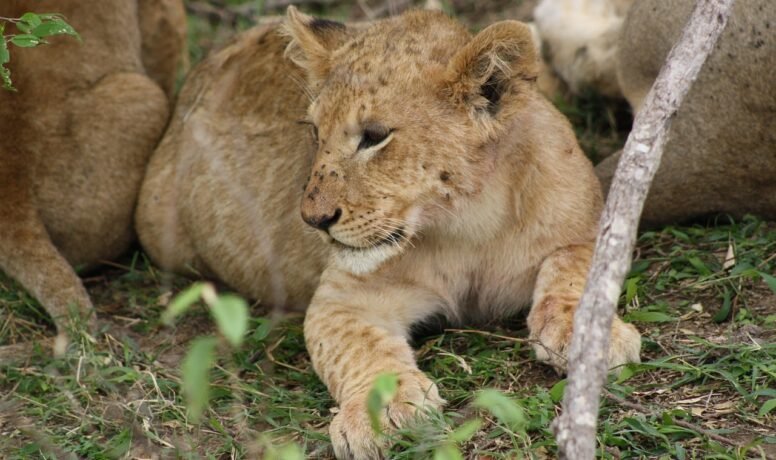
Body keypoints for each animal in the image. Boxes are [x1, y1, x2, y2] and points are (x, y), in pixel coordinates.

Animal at [136, 7, 641, 458]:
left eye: (375, 136)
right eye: (314, 132)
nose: (313, 219)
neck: (469, 225)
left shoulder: (590, 227)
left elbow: (574, 268)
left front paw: (585, 333)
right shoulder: (341, 299)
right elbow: (360, 348)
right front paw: (384, 409)